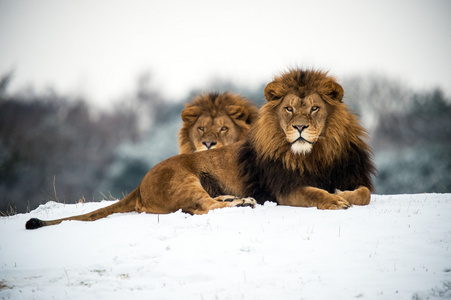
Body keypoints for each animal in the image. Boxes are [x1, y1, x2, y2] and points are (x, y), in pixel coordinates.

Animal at [25, 69, 378, 230]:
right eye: (289, 109)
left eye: (315, 109)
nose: (300, 127)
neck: (316, 154)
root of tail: (139, 185)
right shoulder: (285, 190)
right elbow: (316, 193)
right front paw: (336, 200)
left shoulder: (353, 176)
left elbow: (364, 193)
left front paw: (343, 193)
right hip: (182, 179)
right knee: (201, 207)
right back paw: (241, 204)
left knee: (204, 204)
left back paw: (236, 199)